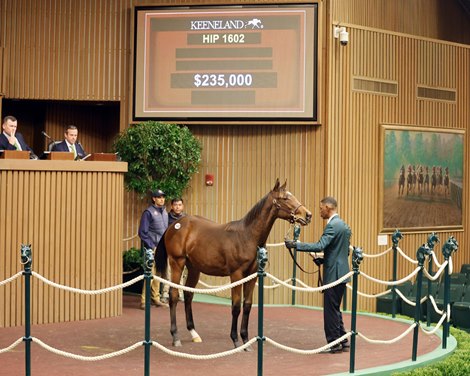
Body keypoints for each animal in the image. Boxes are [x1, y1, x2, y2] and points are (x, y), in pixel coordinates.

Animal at [155, 179, 312, 346]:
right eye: (285, 198)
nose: (308, 215)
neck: (247, 236)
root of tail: (175, 225)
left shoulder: (252, 275)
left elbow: (247, 305)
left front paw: (245, 340)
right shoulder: (236, 275)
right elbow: (236, 306)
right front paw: (235, 340)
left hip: (194, 268)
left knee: (188, 294)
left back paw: (193, 333)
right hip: (177, 263)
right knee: (173, 295)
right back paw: (175, 336)